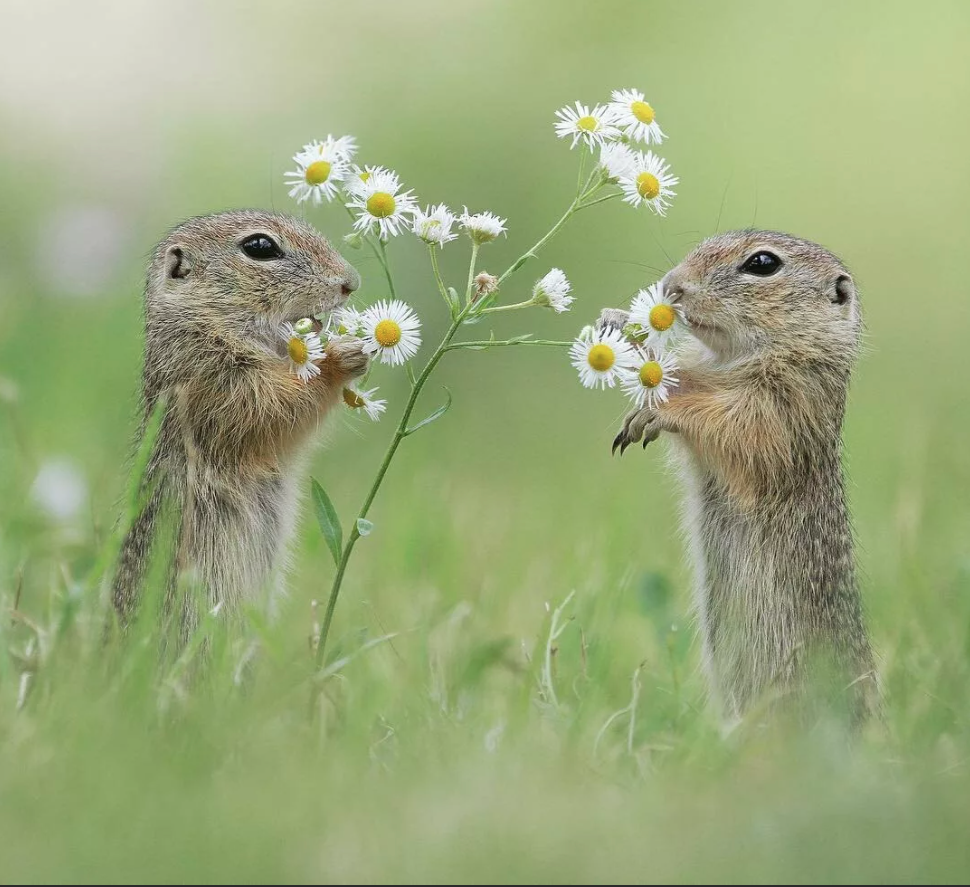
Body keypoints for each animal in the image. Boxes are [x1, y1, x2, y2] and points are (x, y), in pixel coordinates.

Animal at [112, 209, 366, 632]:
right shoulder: (214, 381)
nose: (350, 282)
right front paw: (341, 358)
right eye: (260, 247)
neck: (204, 322)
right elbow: (274, 410)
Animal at [600, 231, 872, 728]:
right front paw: (620, 325)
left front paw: (659, 403)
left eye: (762, 263)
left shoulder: (783, 405)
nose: (672, 286)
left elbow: (729, 423)